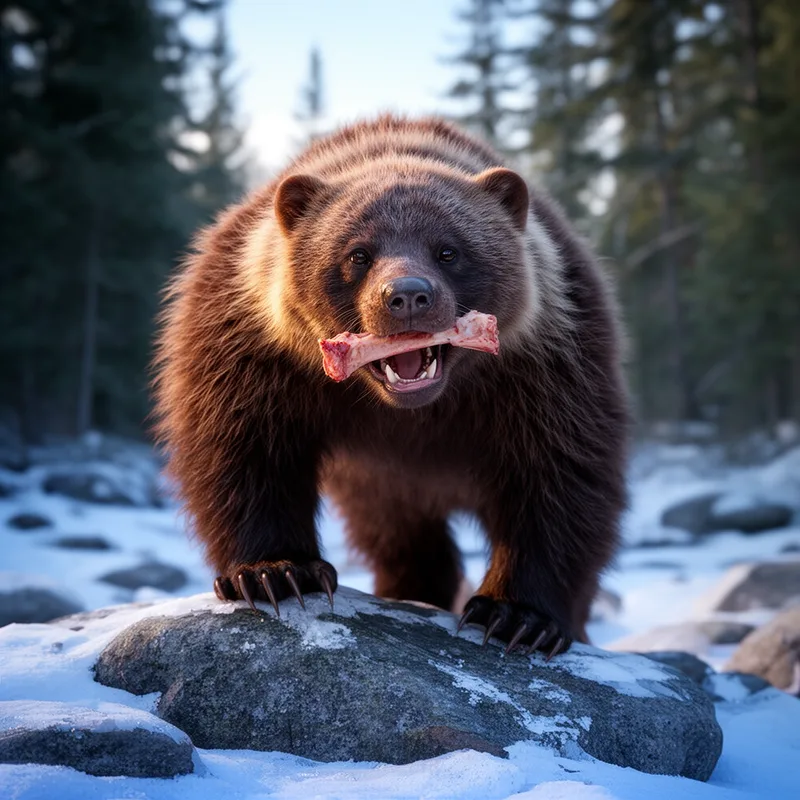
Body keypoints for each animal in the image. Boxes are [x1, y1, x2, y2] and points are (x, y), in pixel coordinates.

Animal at [153, 115, 629, 658]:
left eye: (449, 250)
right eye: (358, 253)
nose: (406, 296)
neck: (410, 417)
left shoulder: (546, 367)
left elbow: (559, 473)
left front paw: (517, 616)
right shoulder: (253, 353)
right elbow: (241, 449)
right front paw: (276, 572)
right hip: (377, 486)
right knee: (401, 538)